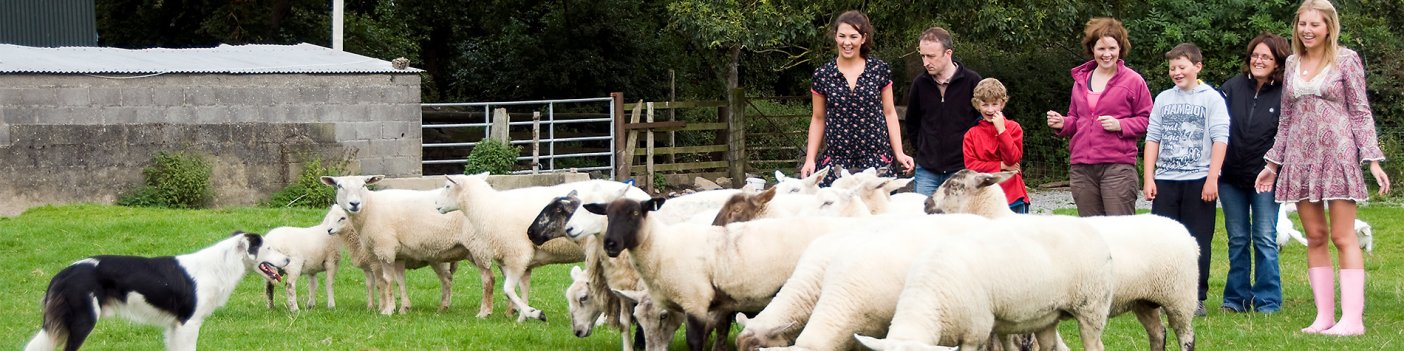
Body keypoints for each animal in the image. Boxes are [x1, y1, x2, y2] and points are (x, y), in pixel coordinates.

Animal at [321, 176, 491, 317]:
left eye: (363, 185)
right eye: (339, 186)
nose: (355, 204)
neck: (370, 208)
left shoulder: (385, 250)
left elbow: (386, 281)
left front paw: (387, 310)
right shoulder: (398, 255)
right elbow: (400, 280)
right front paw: (404, 308)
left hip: (477, 246)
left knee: (487, 278)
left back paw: (484, 312)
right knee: (448, 279)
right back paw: (444, 307)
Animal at [926, 168, 1201, 349]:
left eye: (955, 186)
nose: (927, 203)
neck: (997, 217)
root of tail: (1188, 236)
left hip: (1180, 297)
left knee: (1185, 336)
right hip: (1144, 299)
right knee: (1158, 333)